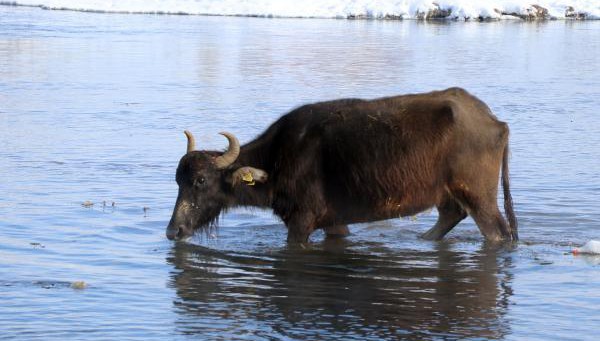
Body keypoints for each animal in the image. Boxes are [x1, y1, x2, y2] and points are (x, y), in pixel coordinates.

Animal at [166, 87, 516, 242]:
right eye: (178, 181)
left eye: (200, 181)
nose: (173, 230)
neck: (280, 158)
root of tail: (495, 121)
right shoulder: (334, 223)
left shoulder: (301, 221)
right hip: (449, 194)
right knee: (450, 216)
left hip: (479, 196)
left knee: (498, 233)